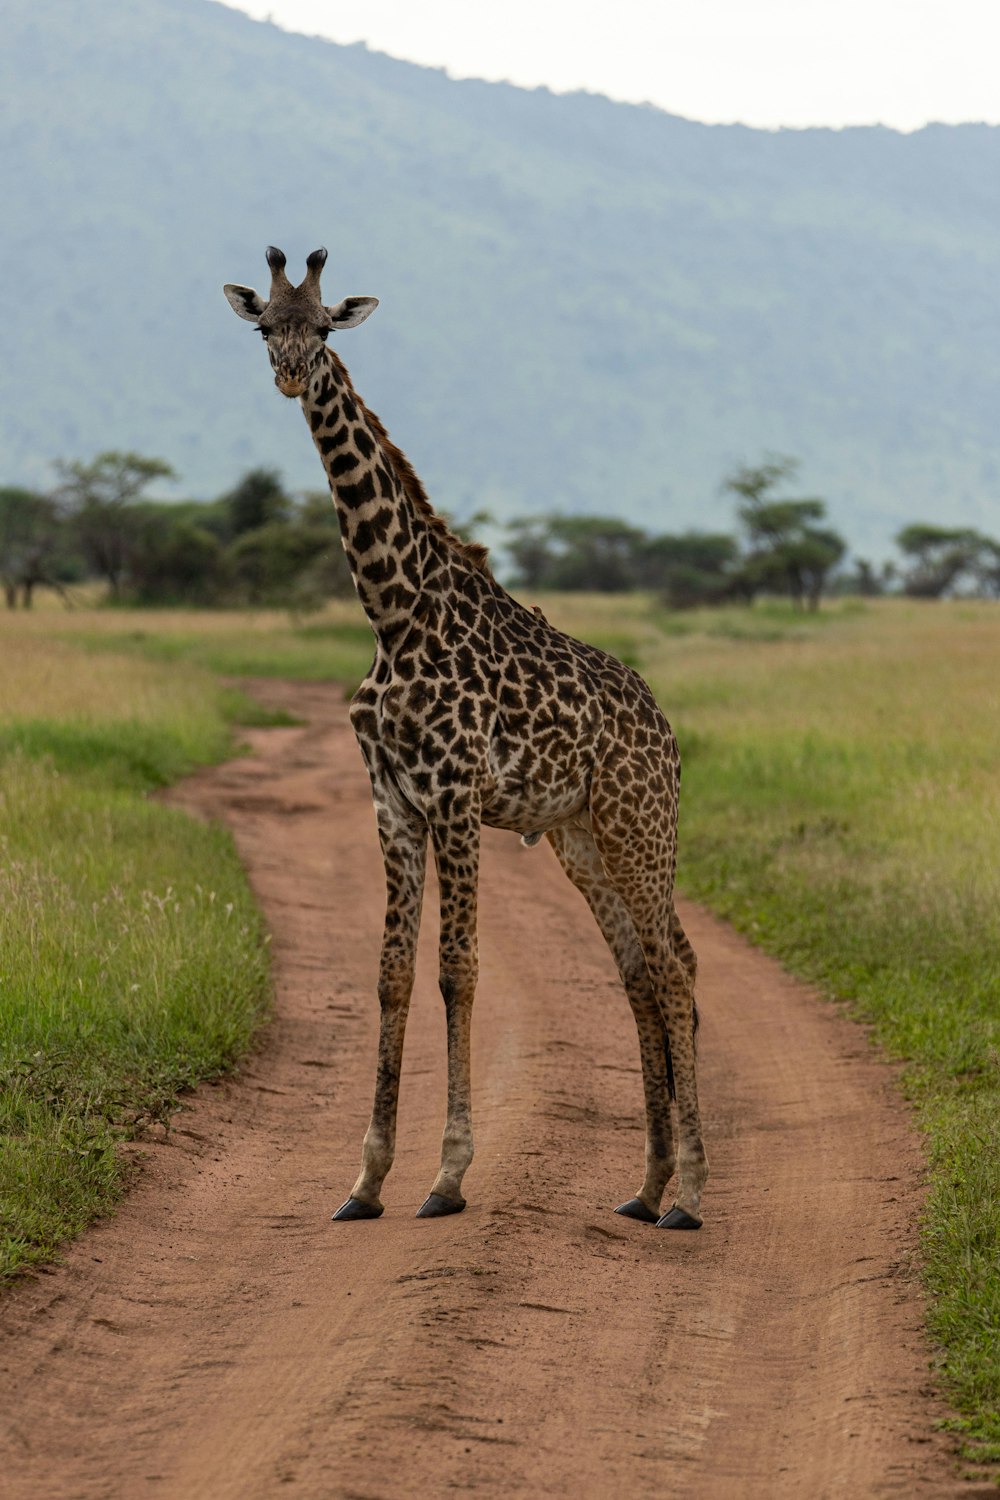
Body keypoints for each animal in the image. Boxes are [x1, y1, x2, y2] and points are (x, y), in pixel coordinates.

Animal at [223, 249, 707, 1230]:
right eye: (264, 328)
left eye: (322, 326)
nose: (290, 375)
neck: (394, 613)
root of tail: (665, 730)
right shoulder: (391, 803)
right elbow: (391, 974)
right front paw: (365, 1181)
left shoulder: (453, 797)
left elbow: (459, 969)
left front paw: (447, 1176)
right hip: (580, 839)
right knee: (640, 971)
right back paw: (645, 1187)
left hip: (640, 826)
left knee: (678, 968)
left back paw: (691, 1192)